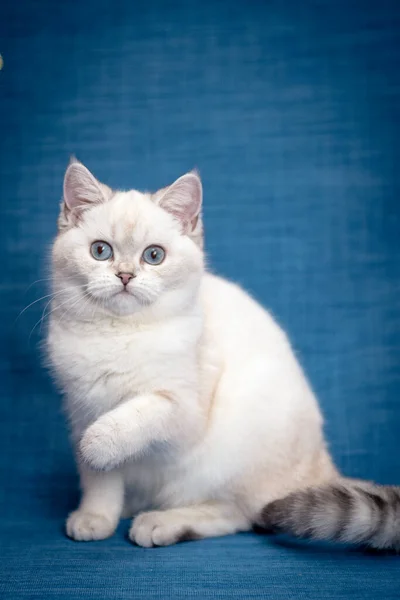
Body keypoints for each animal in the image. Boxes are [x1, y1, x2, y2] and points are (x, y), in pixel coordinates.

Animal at [47, 159, 400, 548]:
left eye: (154, 256)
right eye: (101, 251)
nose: (125, 275)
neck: (118, 334)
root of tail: (322, 465)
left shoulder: (183, 411)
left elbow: (135, 415)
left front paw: (98, 444)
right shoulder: (82, 408)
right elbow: (99, 480)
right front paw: (96, 518)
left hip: (232, 448)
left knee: (244, 514)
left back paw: (160, 523)